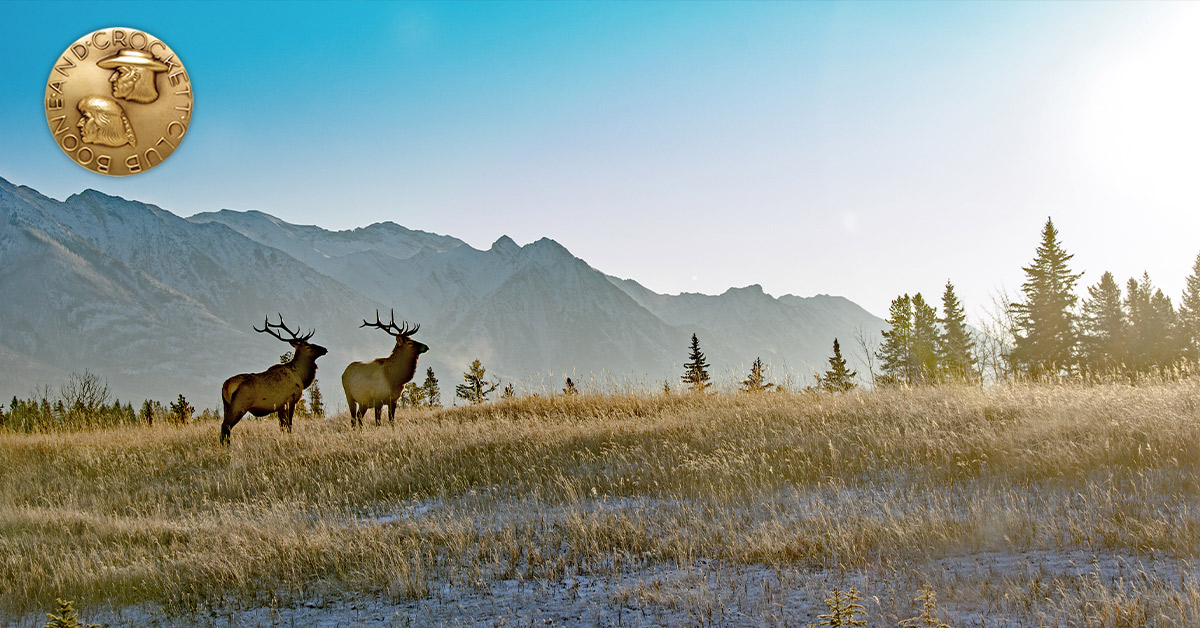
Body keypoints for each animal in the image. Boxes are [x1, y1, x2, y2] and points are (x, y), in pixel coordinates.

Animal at [220, 314, 328, 444]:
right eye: (308, 346)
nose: (324, 349)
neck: (301, 377)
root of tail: (225, 385)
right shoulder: (290, 401)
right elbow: (289, 425)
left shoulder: (280, 407)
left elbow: (282, 427)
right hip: (239, 406)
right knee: (225, 427)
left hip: (226, 406)